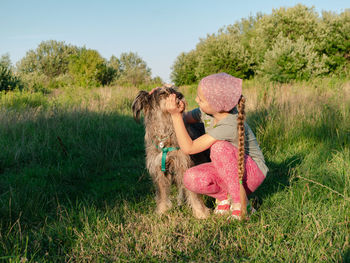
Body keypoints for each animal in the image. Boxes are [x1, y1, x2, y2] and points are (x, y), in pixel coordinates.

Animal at [132, 86, 209, 219]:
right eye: (162, 93)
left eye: (174, 89)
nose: (180, 95)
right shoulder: (159, 169)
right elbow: (162, 193)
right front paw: (162, 211)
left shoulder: (184, 165)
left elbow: (193, 194)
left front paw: (200, 213)